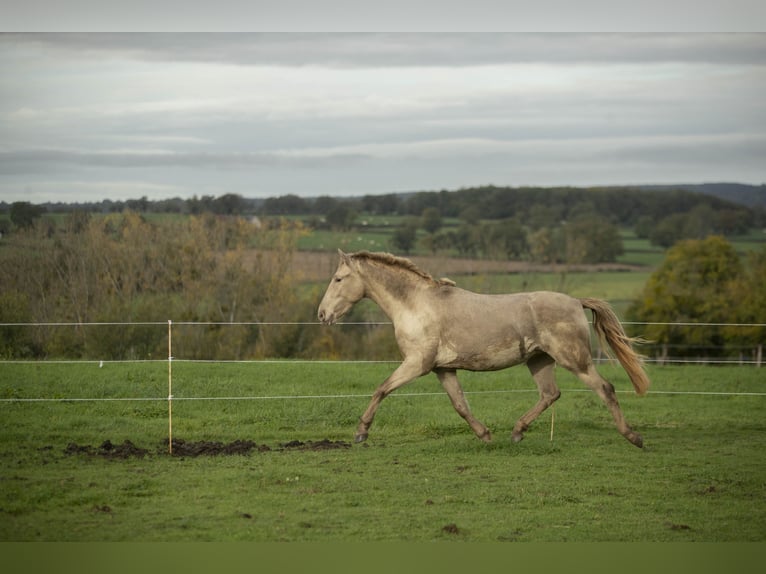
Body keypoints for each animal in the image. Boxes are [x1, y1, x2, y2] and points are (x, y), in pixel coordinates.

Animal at [318, 251, 656, 450]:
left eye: (338, 278)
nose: (322, 315)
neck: (416, 305)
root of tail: (576, 301)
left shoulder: (417, 364)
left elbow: (381, 389)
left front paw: (361, 432)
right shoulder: (443, 368)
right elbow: (460, 405)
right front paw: (485, 435)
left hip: (575, 360)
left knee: (605, 388)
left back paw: (634, 437)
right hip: (539, 360)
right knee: (550, 394)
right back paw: (517, 432)